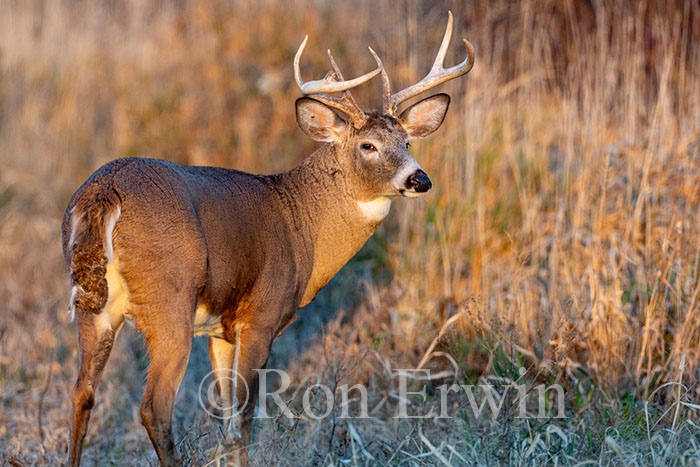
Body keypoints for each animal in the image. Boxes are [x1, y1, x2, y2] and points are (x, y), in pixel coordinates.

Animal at [62, 12, 473, 466]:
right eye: (368, 145)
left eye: (407, 141)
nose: (419, 179)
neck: (299, 223)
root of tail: (105, 191)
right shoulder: (259, 317)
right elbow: (242, 423)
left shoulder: (220, 331)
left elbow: (226, 422)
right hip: (169, 299)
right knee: (154, 406)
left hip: (92, 305)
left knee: (81, 393)